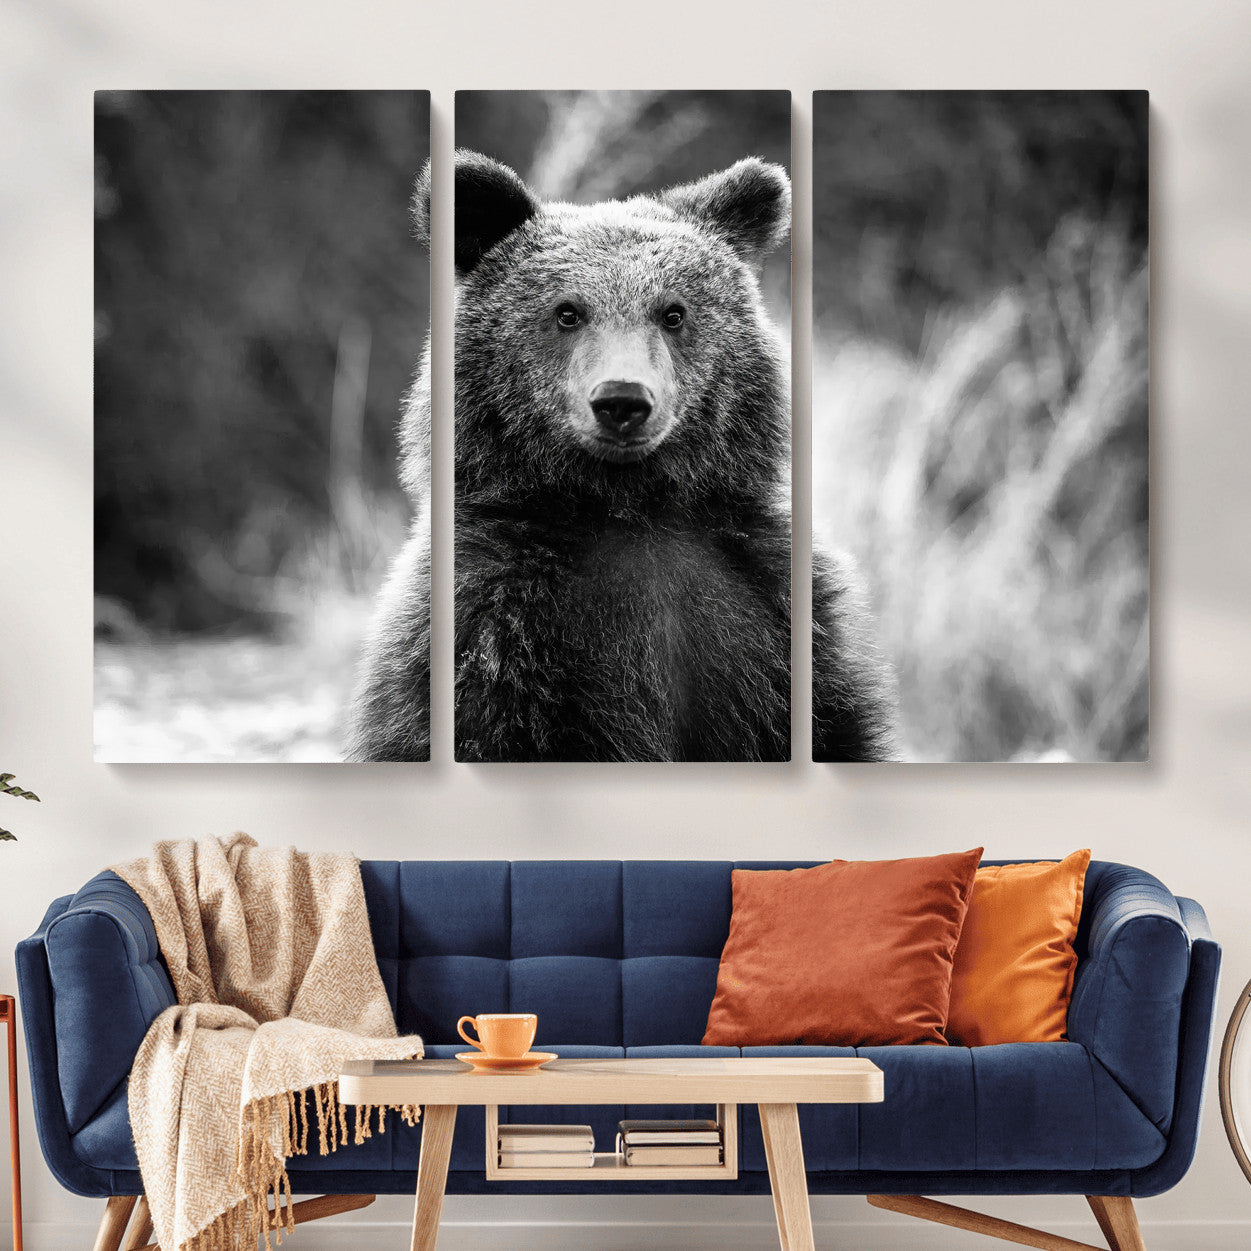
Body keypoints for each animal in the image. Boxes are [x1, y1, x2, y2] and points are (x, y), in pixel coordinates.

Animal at [348, 149, 896, 762]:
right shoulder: (493, 631)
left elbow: (834, 727)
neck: (629, 506)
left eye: (673, 312)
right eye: (567, 312)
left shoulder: (773, 616)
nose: (622, 400)